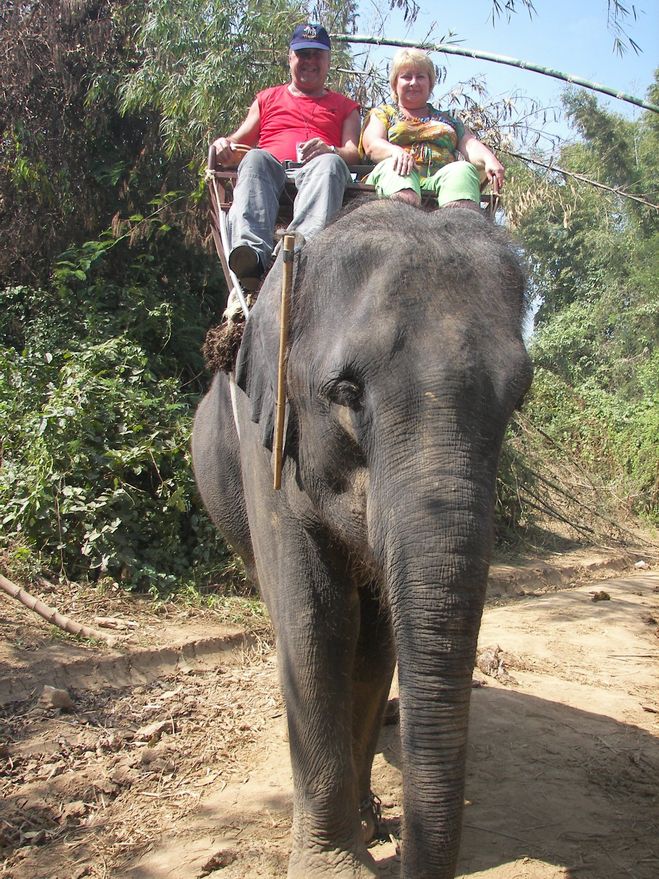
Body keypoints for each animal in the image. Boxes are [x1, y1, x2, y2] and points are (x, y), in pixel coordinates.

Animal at [193, 201, 532, 879]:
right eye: (345, 391)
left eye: (519, 396)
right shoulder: (268, 446)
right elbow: (317, 622)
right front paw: (332, 863)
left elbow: (375, 642)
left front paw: (370, 826)